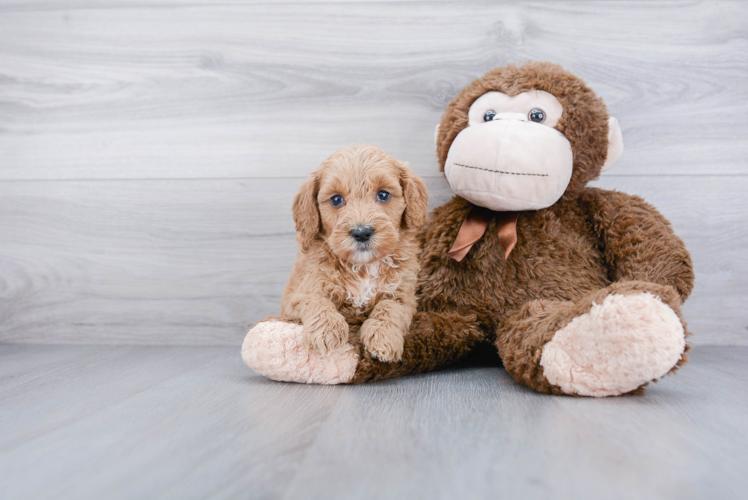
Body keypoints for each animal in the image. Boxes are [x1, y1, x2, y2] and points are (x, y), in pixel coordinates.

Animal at [280, 143, 430, 362]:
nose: (361, 232)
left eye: (383, 195)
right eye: (336, 199)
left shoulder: (403, 293)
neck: (363, 267)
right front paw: (327, 331)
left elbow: (390, 308)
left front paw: (383, 337)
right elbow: (315, 300)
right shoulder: (299, 293)